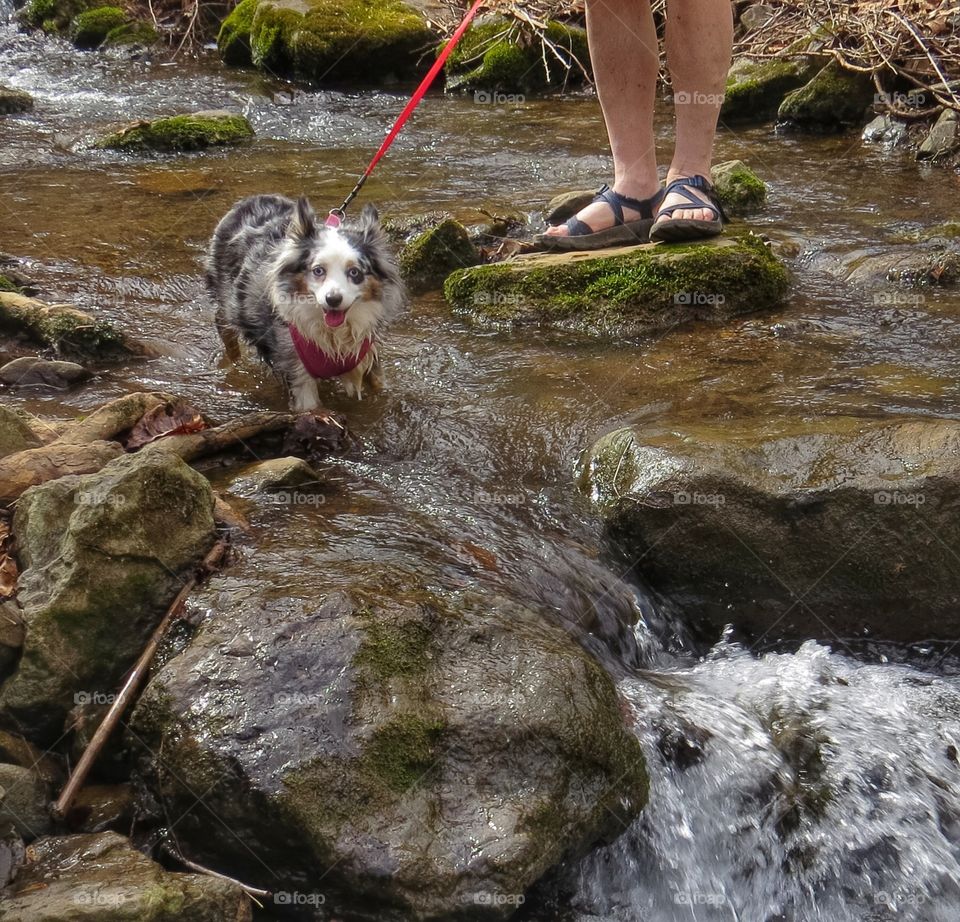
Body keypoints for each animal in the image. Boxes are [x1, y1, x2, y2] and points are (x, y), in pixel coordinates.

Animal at [206, 194, 404, 406]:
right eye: (318, 270)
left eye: (354, 272)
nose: (333, 299)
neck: (333, 334)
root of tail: (253, 199)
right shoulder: (295, 368)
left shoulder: (366, 352)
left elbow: (380, 387)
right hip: (225, 302)